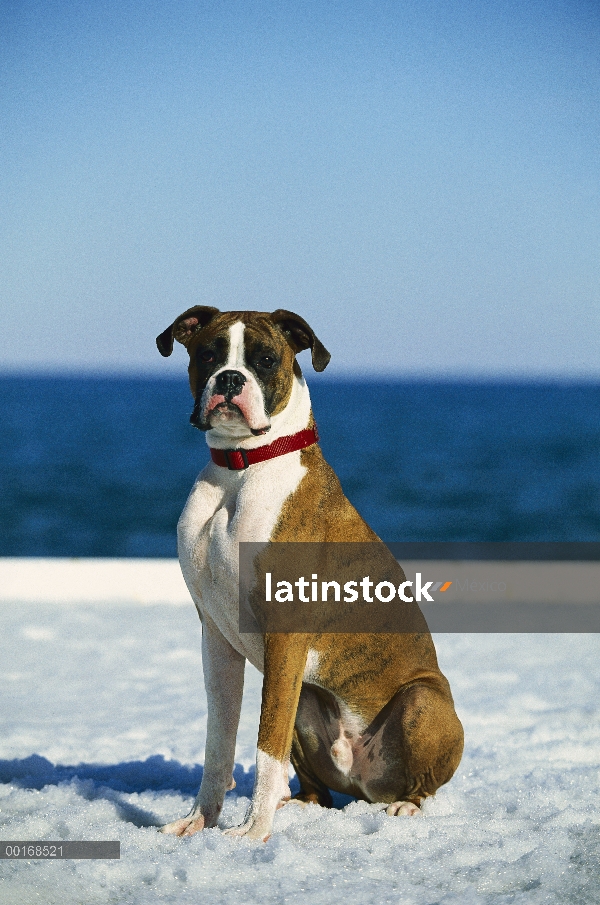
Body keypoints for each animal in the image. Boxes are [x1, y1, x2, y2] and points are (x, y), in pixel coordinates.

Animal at [155, 306, 464, 840]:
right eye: (208, 354)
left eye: (264, 359)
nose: (230, 379)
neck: (239, 470)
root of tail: (363, 783)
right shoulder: (215, 637)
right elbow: (219, 741)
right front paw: (198, 822)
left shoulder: (284, 637)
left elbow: (266, 743)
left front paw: (251, 834)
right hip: (306, 697)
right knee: (316, 789)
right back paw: (296, 804)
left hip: (421, 701)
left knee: (419, 783)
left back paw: (405, 808)